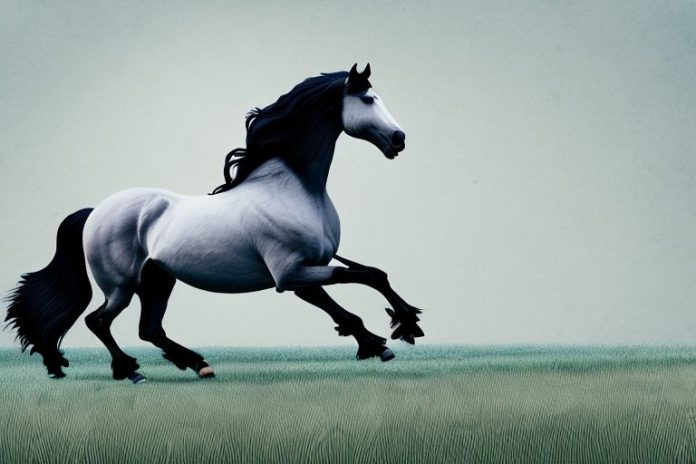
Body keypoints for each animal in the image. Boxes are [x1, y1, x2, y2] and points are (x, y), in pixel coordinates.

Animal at [4, 64, 424, 383]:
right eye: (368, 99)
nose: (399, 139)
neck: (294, 189)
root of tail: (94, 212)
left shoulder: (307, 271)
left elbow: (370, 278)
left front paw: (399, 329)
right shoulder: (290, 274)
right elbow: (356, 290)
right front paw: (383, 340)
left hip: (157, 280)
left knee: (148, 328)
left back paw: (197, 364)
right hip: (120, 285)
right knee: (99, 322)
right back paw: (131, 371)